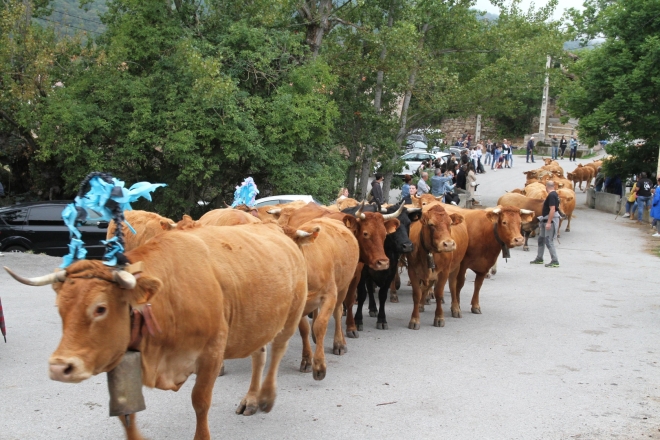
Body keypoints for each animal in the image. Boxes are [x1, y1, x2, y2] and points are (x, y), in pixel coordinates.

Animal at [5, 222, 308, 439]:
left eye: (100, 308)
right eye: (60, 308)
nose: (59, 367)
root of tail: (274, 228)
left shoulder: (212, 351)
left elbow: (200, 402)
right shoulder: (124, 359)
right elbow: (125, 413)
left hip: (292, 313)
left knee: (278, 349)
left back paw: (266, 397)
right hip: (257, 320)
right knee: (259, 353)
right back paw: (252, 399)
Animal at [280, 218, 359, 379]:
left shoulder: (330, 295)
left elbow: (321, 324)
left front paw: (319, 366)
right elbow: (304, 329)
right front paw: (306, 360)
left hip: (344, 286)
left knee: (338, 312)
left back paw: (339, 343)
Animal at [343, 203, 421, 332]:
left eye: (408, 223)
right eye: (395, 227)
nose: (408, 246)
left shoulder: (390, 272)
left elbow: (383, 295)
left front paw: (382, 319)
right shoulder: (362, 273)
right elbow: (362, 294)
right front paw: (358, 320)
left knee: (370, 288)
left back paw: (373, 308)